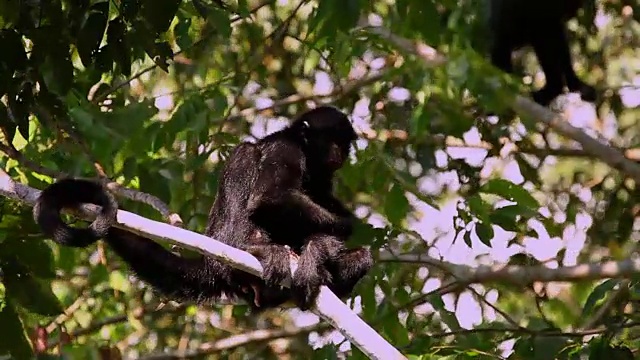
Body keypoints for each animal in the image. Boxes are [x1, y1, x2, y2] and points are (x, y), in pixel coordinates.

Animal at [35, 105, 372, 310]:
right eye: (329, 138)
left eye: (344, 141)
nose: (339, 150)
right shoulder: (286, 148)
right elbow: (271, 199)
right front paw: (334, 235)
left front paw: (321, 246)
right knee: (245, 155)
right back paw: (258, 249)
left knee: (362, 258)